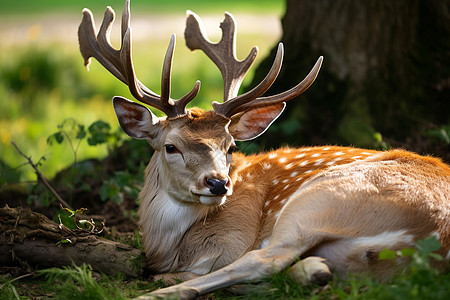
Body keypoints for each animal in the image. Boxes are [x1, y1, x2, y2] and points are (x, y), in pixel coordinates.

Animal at [79, 1, 448, 298]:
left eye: (230, 147)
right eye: (171, 146)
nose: (218, 183)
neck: (167, 246)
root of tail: (429, 239)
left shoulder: (233, 237)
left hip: (321, 200)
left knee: (262, 260)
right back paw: (315, 271)